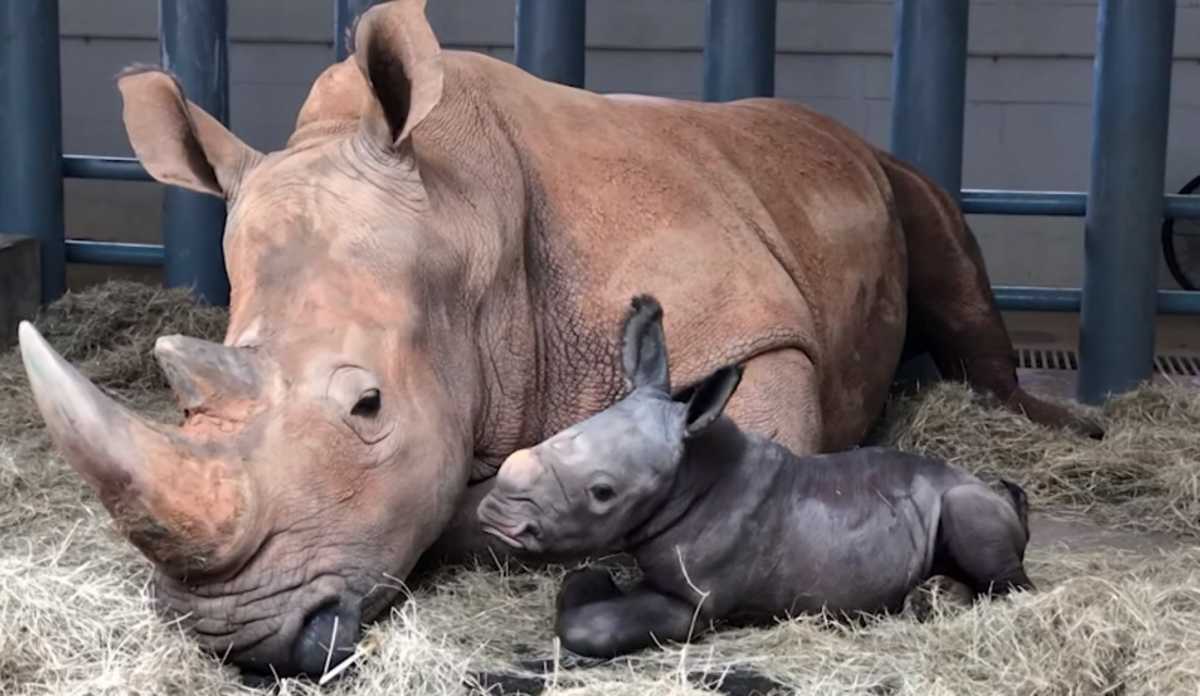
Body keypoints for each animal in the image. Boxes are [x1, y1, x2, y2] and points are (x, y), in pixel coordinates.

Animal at [475, 296, 1032, 662]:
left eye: (603, 492)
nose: (494, 515)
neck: (690, 472)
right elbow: (579, 584)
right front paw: (596, 579)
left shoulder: (697, 604)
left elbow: (590, 626)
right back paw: (928, 597)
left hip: (966, 498)